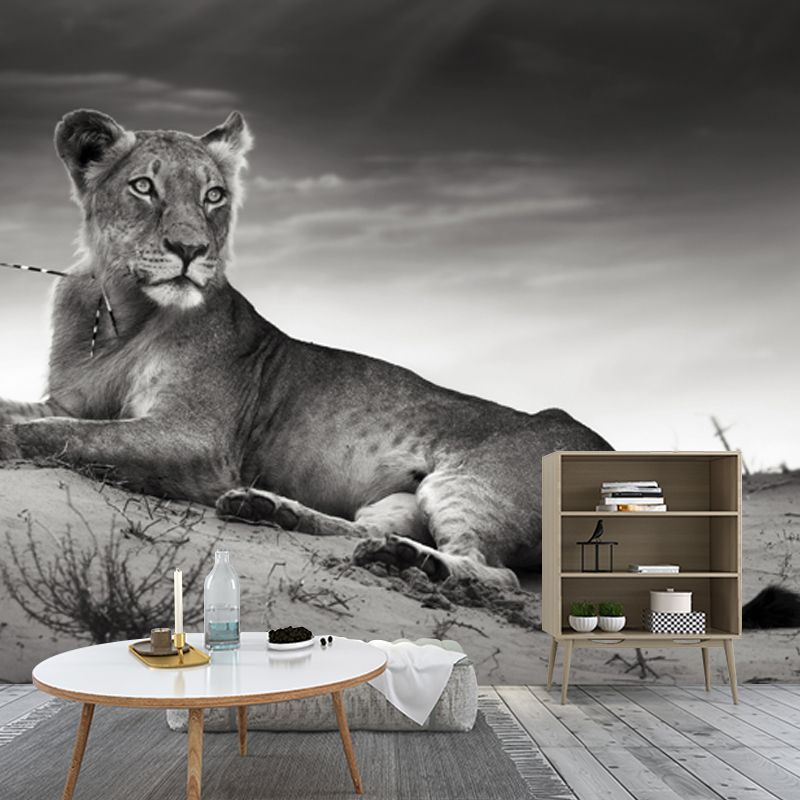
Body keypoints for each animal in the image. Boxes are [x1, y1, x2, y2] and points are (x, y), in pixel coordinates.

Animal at [0, 109, 612, 590]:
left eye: (213, 195)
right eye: (144, 187)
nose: (189, 250)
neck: (122, 313)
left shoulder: (198, 439)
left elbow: (50, 434)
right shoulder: (69, 403)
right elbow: (37, 418)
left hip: (469, 485)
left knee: (494, 573)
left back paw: (412, 562)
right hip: (401, 498)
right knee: (362, 528)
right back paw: (273, 511)